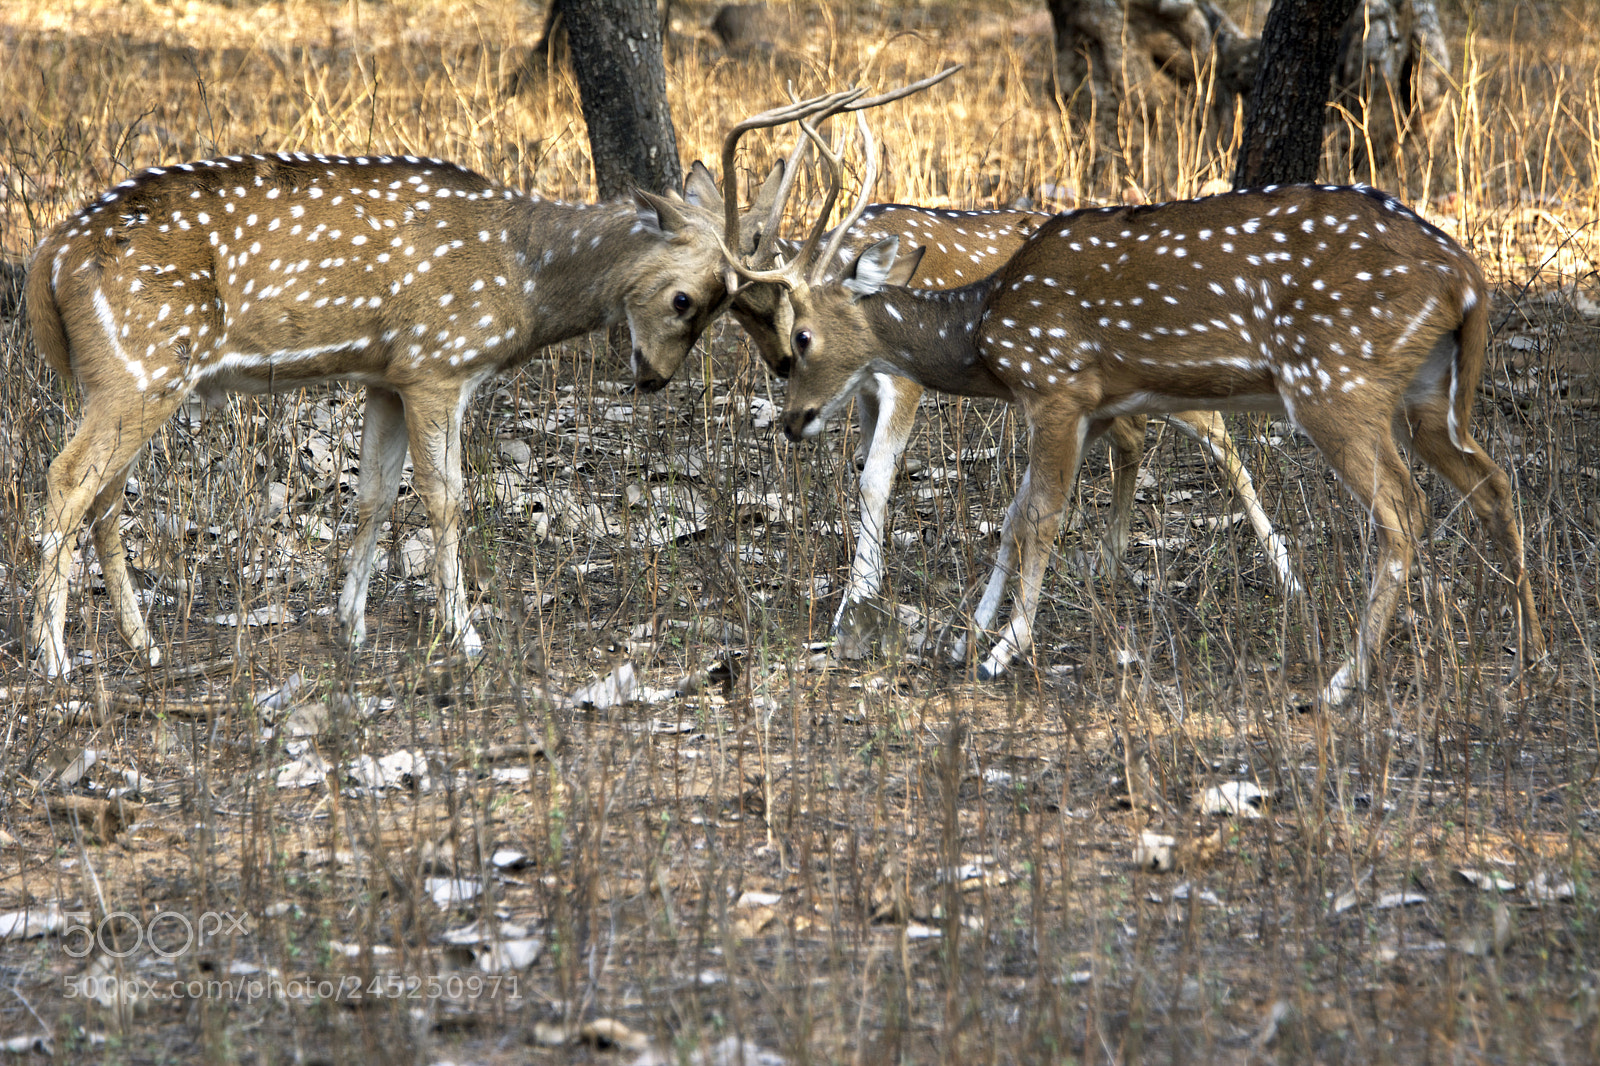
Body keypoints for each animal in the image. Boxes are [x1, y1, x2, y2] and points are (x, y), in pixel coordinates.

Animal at [22, 89, 867, 678]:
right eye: (687, 298)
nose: (654, 377)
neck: (522, 279)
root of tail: (46, 260)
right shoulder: (438, 363)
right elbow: (445, 497)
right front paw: (464, 632)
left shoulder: (384, 376)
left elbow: (369, 494)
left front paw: (352, 625)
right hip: (140, 365)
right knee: (66, 482)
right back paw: (54, 658)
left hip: (124, 379)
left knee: (104, 498)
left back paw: (143, 645)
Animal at [746, 118, 1544, 707]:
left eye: (801, 334)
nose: (792, 419)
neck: (985, 330)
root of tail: (1466, 275)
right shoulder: (1090, 404)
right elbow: (1014, 514)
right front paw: (964, 635)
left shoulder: (1057, 382)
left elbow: (1042, 517)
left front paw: (1005, 648)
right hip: (1427, 394)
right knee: (1493, 481)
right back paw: (1530, 649)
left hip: (1336, 379)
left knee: (1404, 508)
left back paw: (1346, 680)